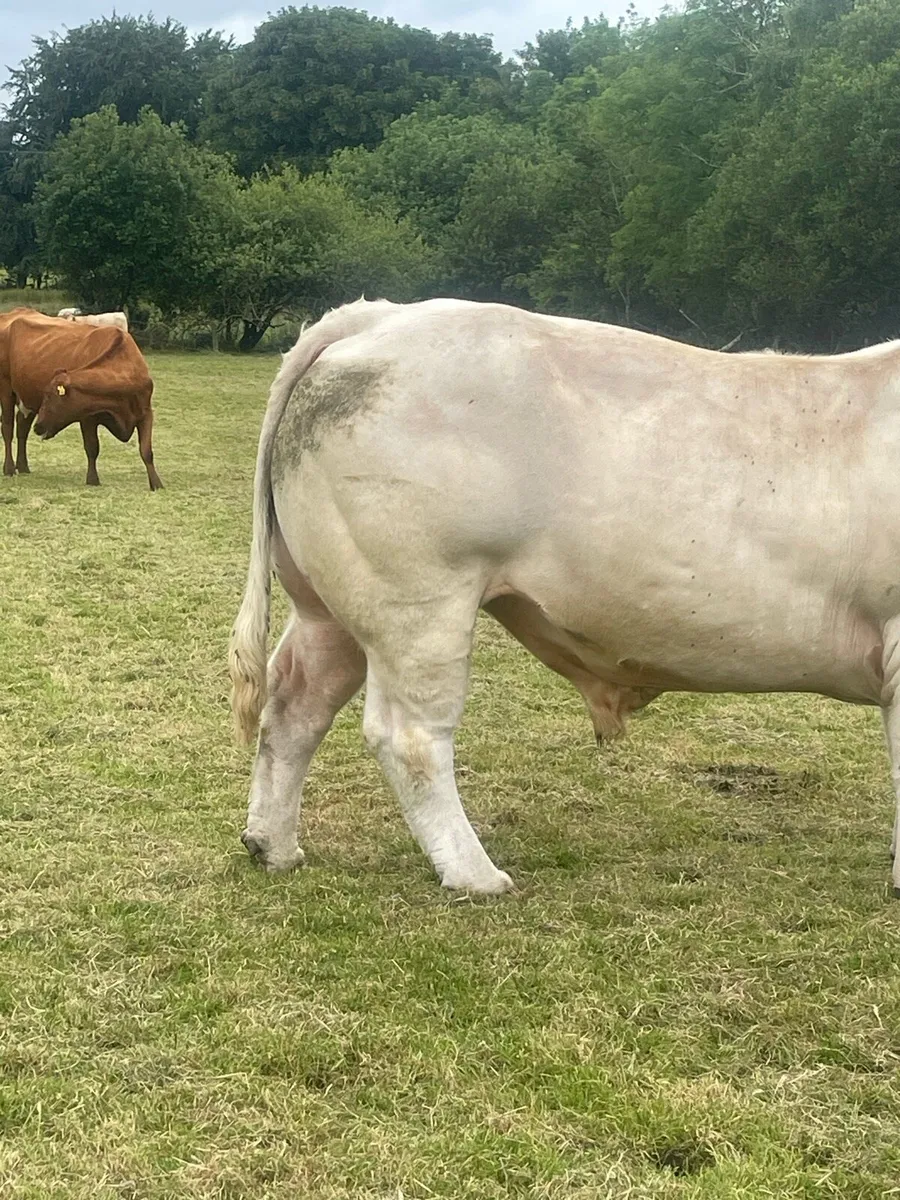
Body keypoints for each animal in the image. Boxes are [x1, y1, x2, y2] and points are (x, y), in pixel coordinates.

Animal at [0, 307, 161, 489]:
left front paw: (156, 483)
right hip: (6, 389)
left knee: (22, 428)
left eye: (48, 396)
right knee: (7, 428)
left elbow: (146, 450)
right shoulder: (88, 417)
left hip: (26, 398)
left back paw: (23, 466)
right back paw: (9, 468)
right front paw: (92, 479)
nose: (39, 427)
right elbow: (92, 447)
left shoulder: (145, 413)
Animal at [229, 297, 900, 897]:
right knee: (410, 735)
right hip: (418, 597)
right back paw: (475, 875)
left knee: (294, 704)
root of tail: (379, 316)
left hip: (330, 606)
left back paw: (273, 846)